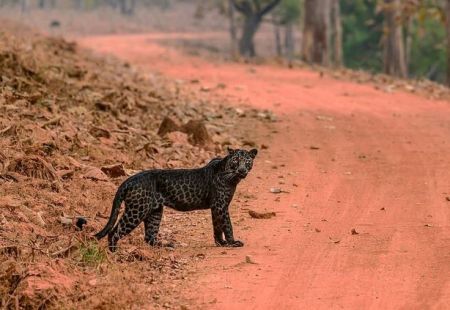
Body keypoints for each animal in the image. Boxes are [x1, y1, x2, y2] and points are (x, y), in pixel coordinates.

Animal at [95, 148, 256, 252]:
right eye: (236, 160)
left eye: (247, 161)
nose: (242, 170)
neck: (232, 176)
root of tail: (129, 179)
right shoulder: (220, 205)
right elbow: (227, 225)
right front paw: (232, 242)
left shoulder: (216, 207)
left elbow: (217, 226)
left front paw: (221, 243)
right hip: (137, 210)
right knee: (114, 232)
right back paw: (115, 254)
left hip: (155, 212)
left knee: (149, 237)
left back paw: (167, 246)